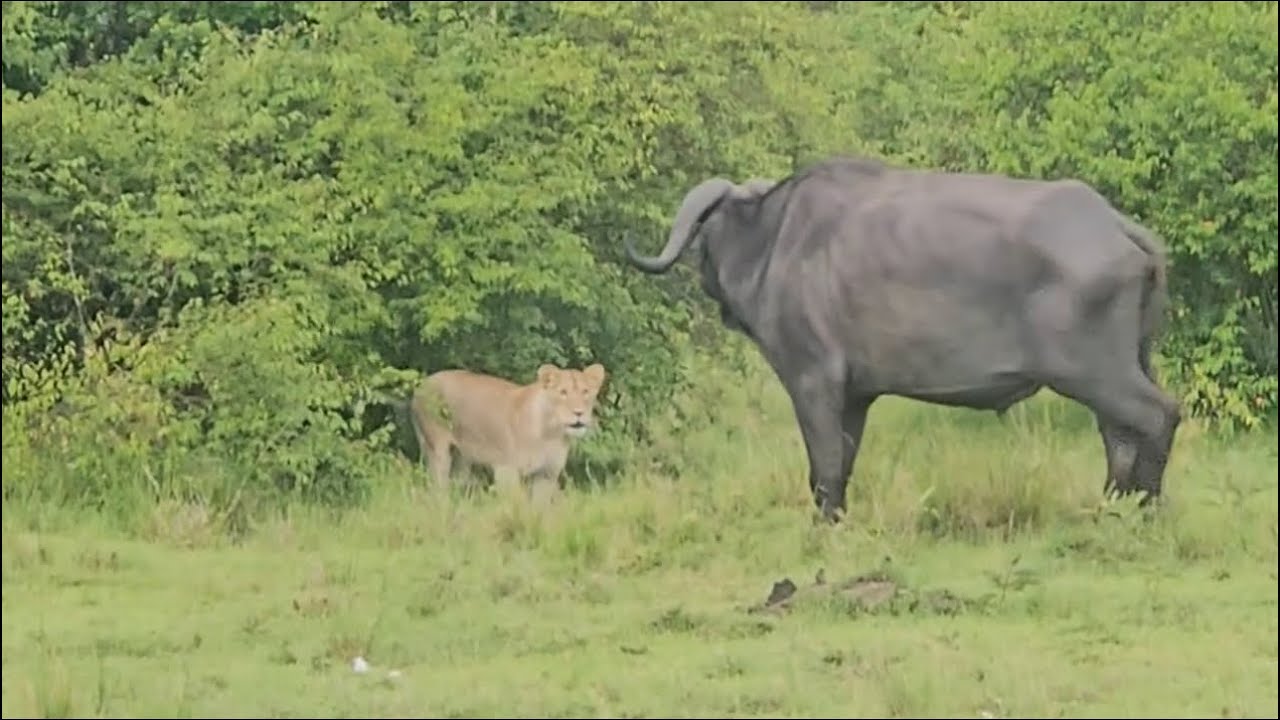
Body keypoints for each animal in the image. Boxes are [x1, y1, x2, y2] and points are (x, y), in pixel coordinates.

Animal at [407, 362, 607, 494]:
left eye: (586, 392)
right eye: (563, 392)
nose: (579, 413)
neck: (551, 434)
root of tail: (422, 384)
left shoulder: (547, 475)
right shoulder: (506, 470)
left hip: (462, 457)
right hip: (436, 447)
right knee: (438, 486)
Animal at [624, 156, 1181, 523]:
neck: (774, 241)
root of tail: (1116, 226)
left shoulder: (812, 383)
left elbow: (823, 464)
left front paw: (823, 525)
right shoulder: (855, 397)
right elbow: (843, 463)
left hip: (1093, 372)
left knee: (1157, 417)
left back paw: (1148, 506)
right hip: (1126, 364)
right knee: (1119, 434)